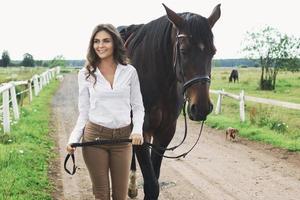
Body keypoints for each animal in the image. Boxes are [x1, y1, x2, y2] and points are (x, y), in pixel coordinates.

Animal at [119, 3, 220, 199]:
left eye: (213, 52)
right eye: (183, 50)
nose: (202, 108)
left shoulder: (165, 132)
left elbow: (155, 179)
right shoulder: (141, 130)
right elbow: (151, 184)